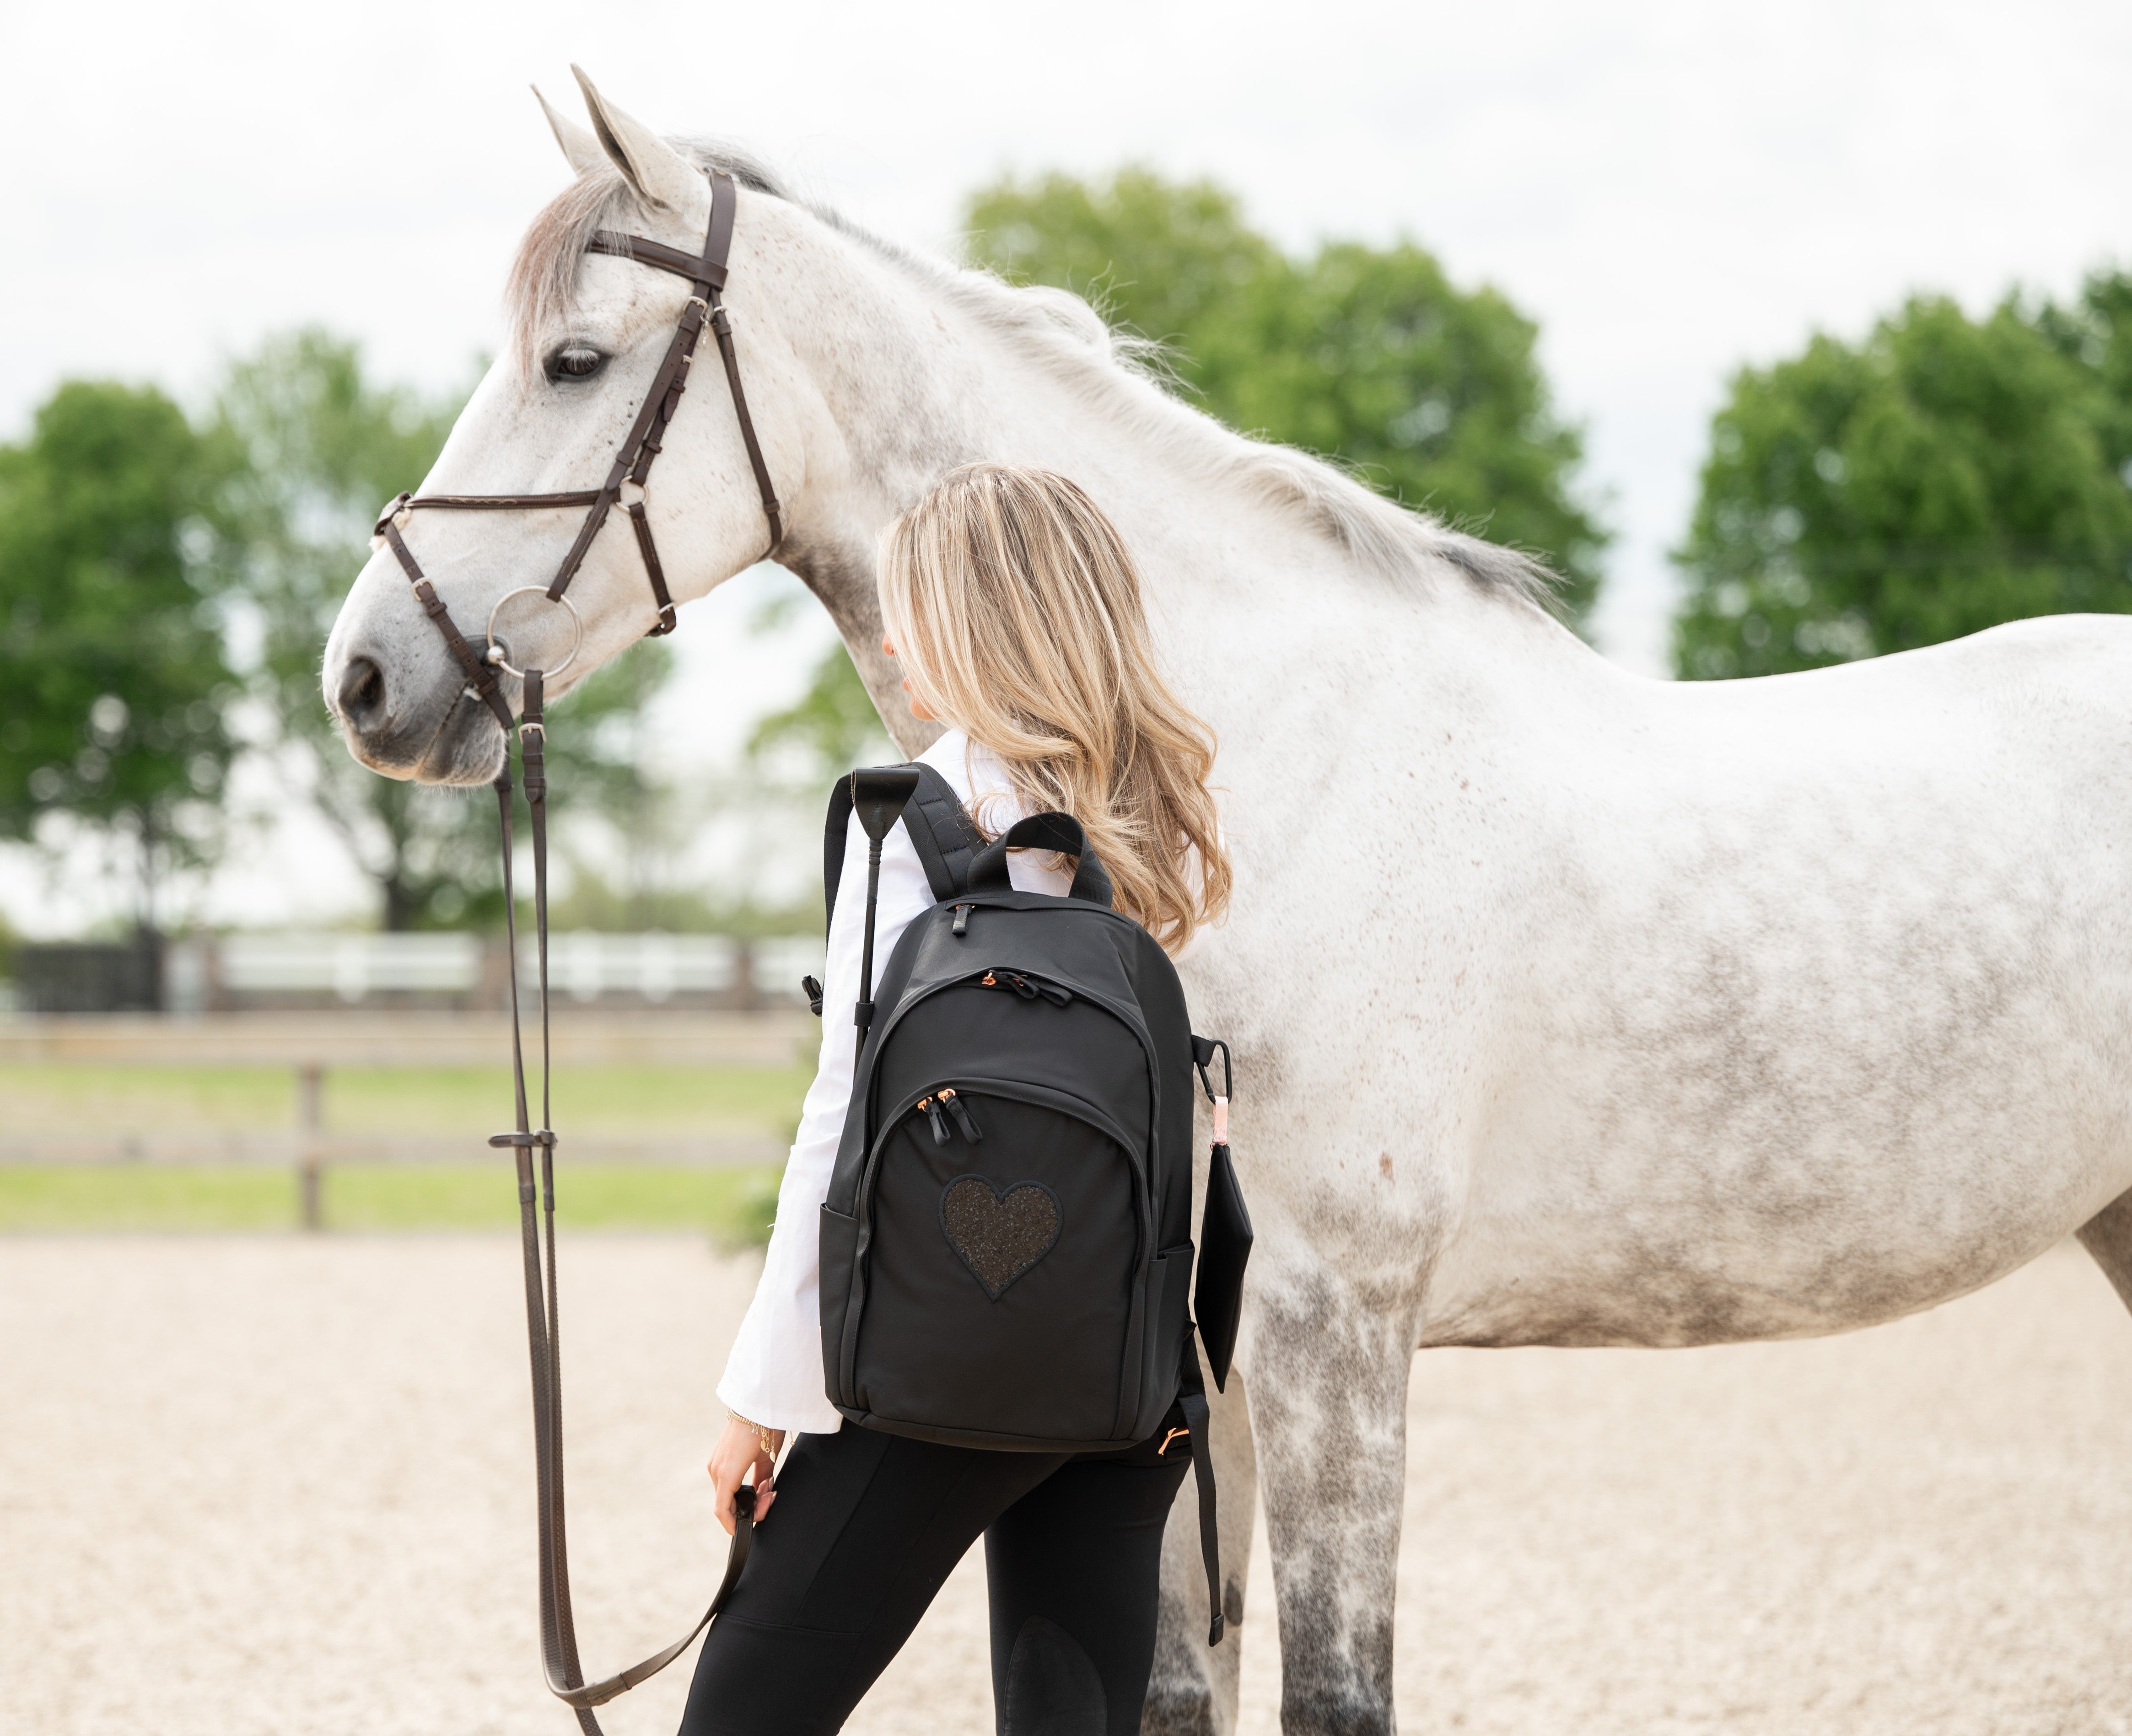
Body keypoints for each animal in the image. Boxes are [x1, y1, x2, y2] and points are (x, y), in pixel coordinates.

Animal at [322, 71, 2132, 1736]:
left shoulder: (1337, 1336)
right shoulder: (1207, 1378)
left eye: (575, 361)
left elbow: (1335, 1693)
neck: (1230, 769)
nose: (369, 675)